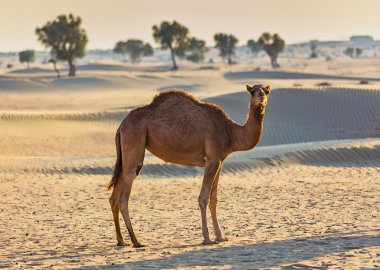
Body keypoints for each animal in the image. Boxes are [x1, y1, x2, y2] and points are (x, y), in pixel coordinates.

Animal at [108, 84, 272, 247]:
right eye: (252, 91)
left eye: (266, 90)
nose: (261, 97)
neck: (231, 131)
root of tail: (121, 126)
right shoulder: (212, 159)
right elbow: (203, 198)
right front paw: (207, 238)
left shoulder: (220, 161)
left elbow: (214, 198)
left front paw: (220, 237)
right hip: (134, 140)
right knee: (124, 196)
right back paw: (136, 241)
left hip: (125, 154)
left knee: (114, 194)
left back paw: (121, 240)